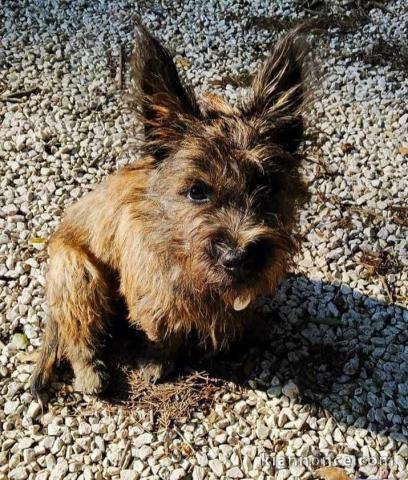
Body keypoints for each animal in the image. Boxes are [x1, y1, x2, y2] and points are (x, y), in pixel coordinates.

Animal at [31, 24, 312, 396]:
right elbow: (163, 330)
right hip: (76, 272)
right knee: (79, 332)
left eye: (265, 187)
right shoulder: (153, 295)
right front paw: (158, 361)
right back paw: (91, 372)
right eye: (196, 191)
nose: (237, 257)